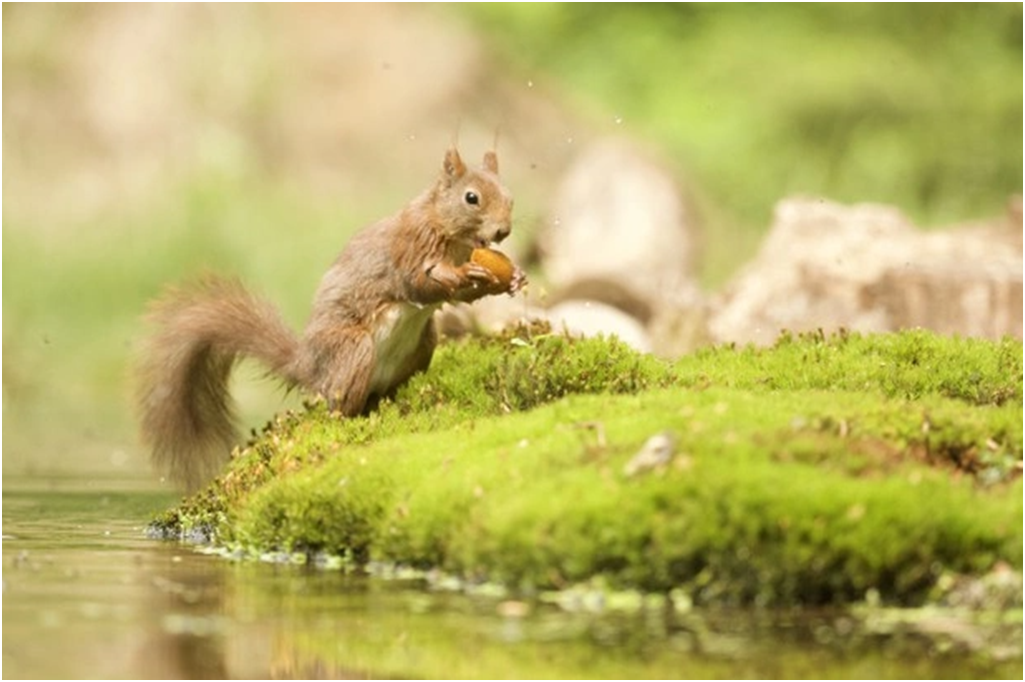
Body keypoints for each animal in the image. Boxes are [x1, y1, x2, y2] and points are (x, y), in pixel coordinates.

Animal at [134, 147, 528, 490]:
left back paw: (395, 404)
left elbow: (460, 297)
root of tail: (310, 366)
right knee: (339, 406)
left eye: (510, 196)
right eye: (471, 198)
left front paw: (514, 277)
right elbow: (418, 282)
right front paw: (466, 274)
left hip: (424, 344)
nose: (503, 231)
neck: (451, 234)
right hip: (354, 350)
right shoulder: (409, 247)